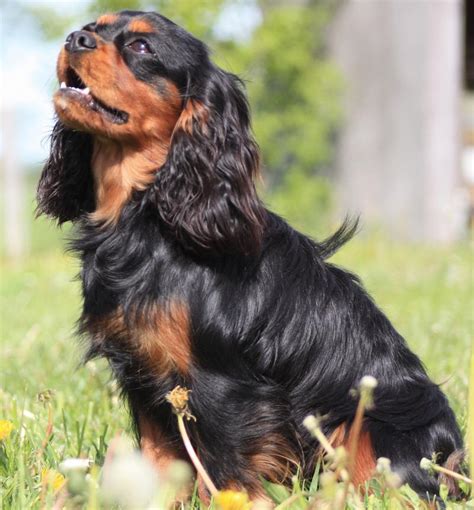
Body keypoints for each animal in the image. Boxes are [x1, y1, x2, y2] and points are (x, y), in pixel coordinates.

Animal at [38, 7, 462, 502]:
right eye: (93, 27)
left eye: (142, 47)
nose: (75, 38)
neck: (150, 214)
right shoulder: (146, 378)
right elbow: (161, 462)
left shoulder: (222, 385)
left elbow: (226, 471)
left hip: (371, 429)